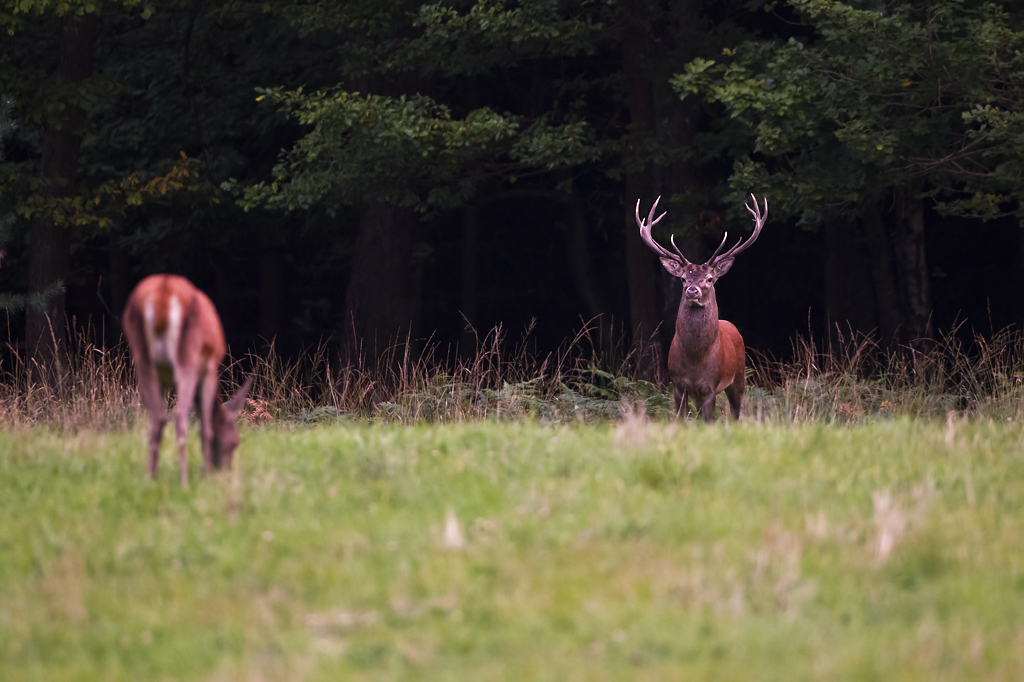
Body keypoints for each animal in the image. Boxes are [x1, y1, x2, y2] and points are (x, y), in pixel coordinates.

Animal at [122, 274, 251, 485]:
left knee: (158, 419)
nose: (226, 468)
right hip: (187, 356)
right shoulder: (209, 368)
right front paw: (206, 473)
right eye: (235, 442)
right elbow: (206, 427)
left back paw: (150, 479)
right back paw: (184, 481)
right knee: (179, 415)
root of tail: (162, 292)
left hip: (142, 358)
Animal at [630, 193, 770, 419]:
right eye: (683, 279)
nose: (692, 291)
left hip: (739, 377)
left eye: (710, 279)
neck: (695, 361)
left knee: (736, 413)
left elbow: (708, 420)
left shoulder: (710, 386)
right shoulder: (678, 385)